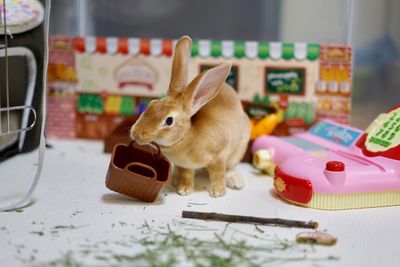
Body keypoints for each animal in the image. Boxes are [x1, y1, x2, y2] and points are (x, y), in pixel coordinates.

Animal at [131, 35, 250, 198]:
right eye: (152, 104)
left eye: (169, 120)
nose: (135, 134)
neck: (186, 136)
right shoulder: (185, 165)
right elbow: (187, 175)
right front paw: (183, 190)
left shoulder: (219, 155)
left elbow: (218, 173)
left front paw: (217, 192)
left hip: (238, 150)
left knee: (230, 167)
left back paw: (235, 181)